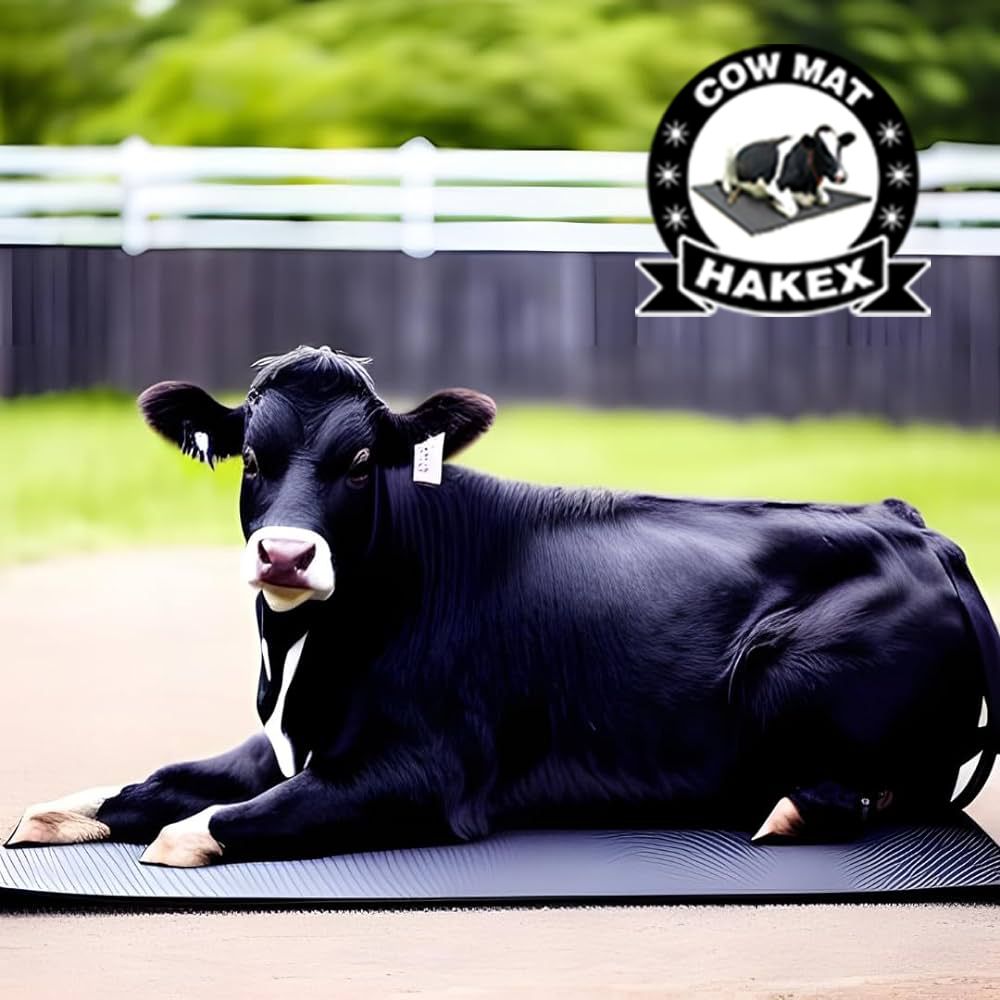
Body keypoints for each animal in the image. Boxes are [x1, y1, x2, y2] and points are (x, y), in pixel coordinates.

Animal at [6, 345, 998, 868]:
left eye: (361, 462)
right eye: (250, 455)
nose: (284, 554)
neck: (301, 660)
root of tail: (910, 523)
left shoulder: (426, 772)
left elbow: (205, 822)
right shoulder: (284, 740)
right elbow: (158, 782)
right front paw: (51, 813)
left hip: (781, 671)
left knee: (865, 791)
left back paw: (788, 808)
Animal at [722, 126, 856, 219]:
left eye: (839, 148)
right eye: (820, 149)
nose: (841, 176)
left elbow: (825, 199)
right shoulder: (774, 186)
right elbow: (792, 210)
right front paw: (775, 203)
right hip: (728, 157)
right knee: (725, 178)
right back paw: (729, 189)